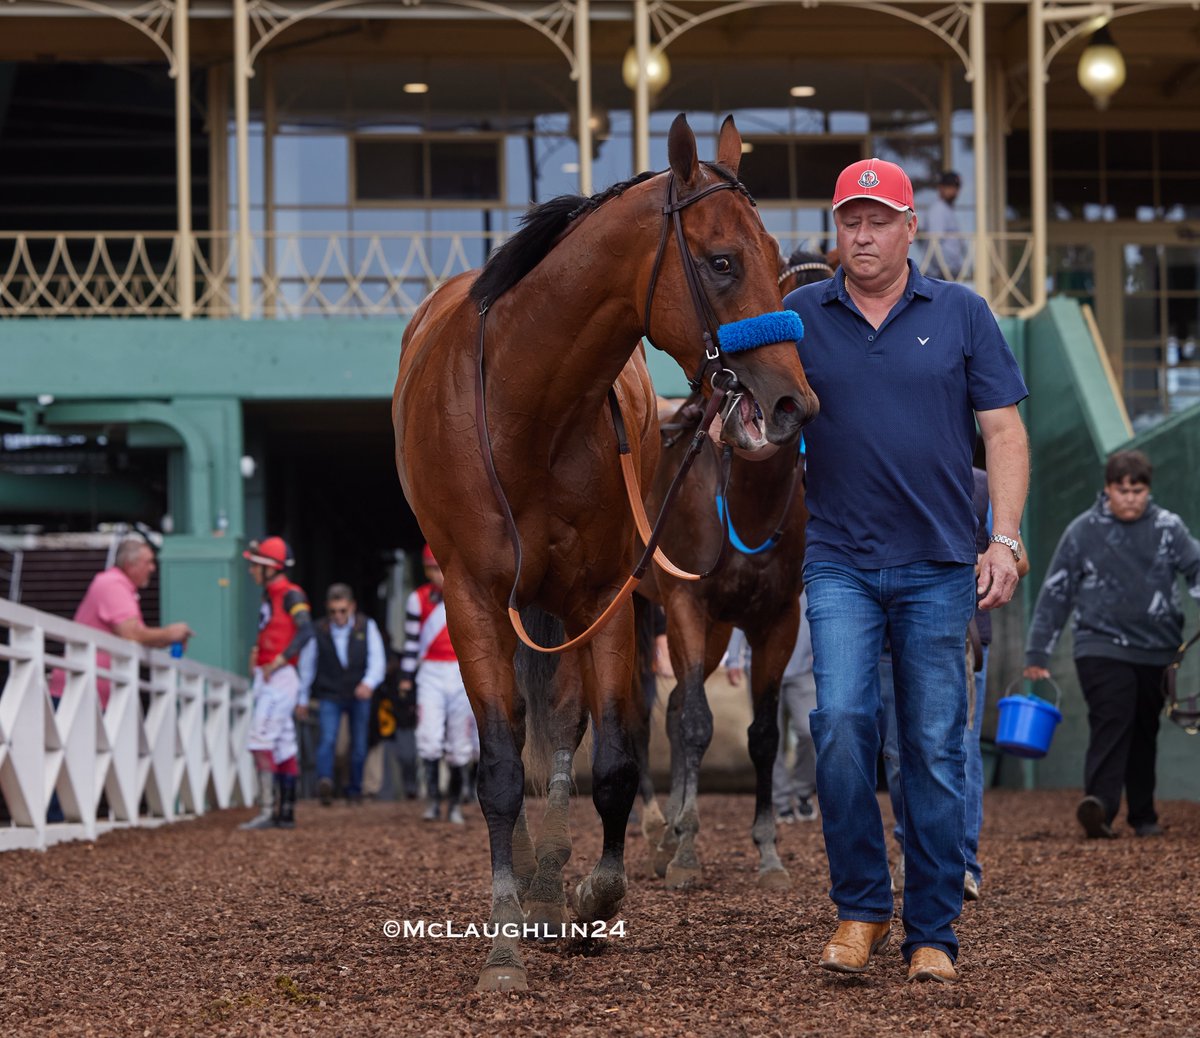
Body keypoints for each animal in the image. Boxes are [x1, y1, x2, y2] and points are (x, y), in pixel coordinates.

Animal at [638, 249, 835, 892]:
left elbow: (764, 735)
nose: (790, 404)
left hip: (718, 629)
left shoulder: (774, 618)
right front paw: (687, 853)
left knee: (672, 708)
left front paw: (768, 853)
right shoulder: (685, 606)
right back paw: (656, 826)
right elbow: (699, 723)